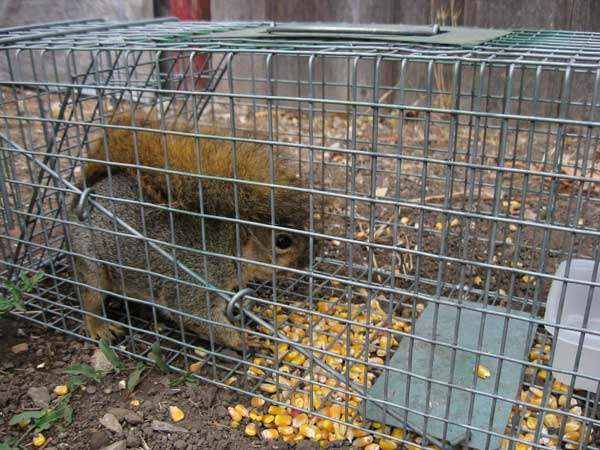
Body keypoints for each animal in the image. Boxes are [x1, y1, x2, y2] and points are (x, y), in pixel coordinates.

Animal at [69, 110, 314, 350]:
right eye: (283, 241)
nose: (310, 259)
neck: (225, 247)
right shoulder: (192, 284)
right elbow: (201, 319)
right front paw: (243, 340)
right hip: (90, 263)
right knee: (89, 300)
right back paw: (100, 327)